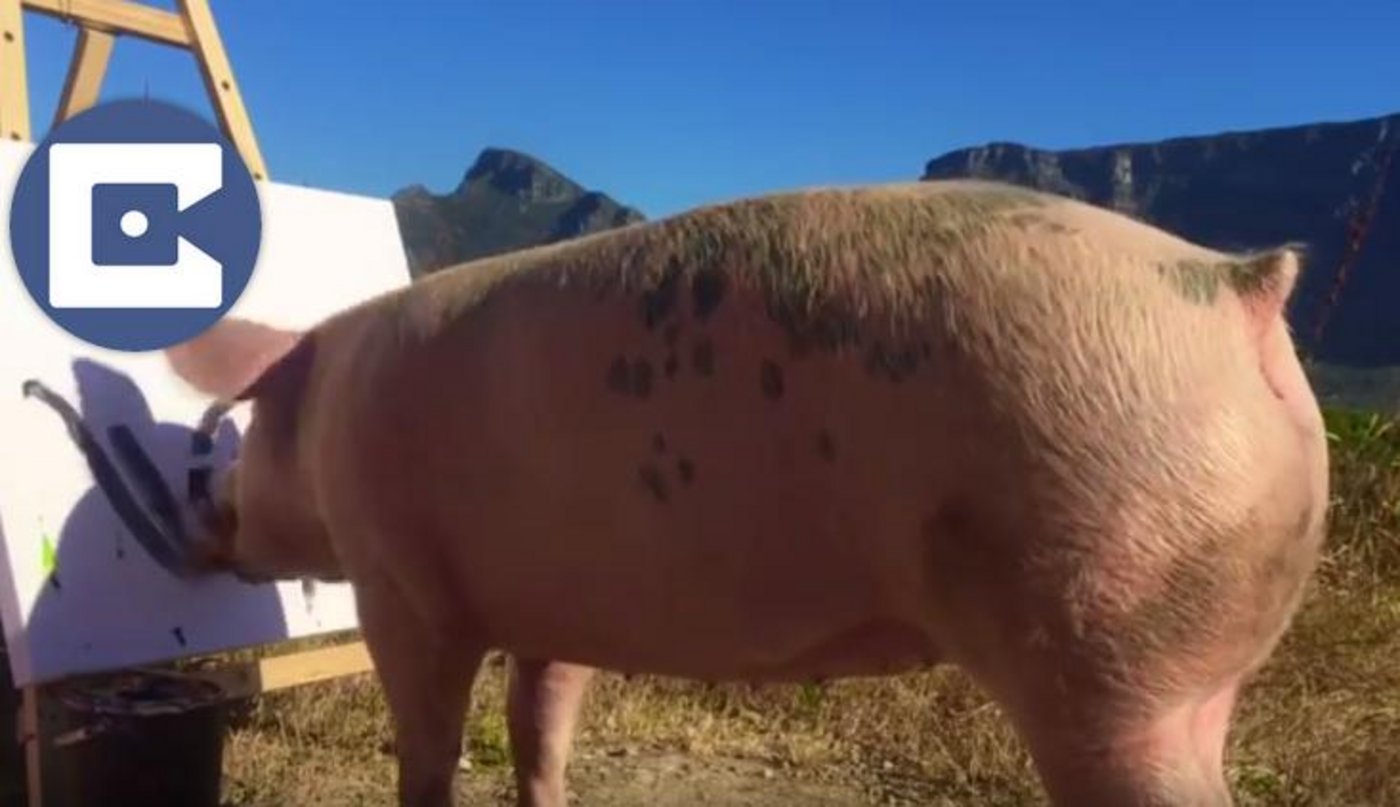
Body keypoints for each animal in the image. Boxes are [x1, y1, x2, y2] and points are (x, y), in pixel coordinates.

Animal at [164, 179, 1329, 807]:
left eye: (240, 435)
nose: (197, 515)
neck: (329, 413)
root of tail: (1239, 289)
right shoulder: (564, 607)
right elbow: (539, 726)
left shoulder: (398, 582)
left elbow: (429, 743)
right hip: (1198, 649)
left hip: (1110, 620)